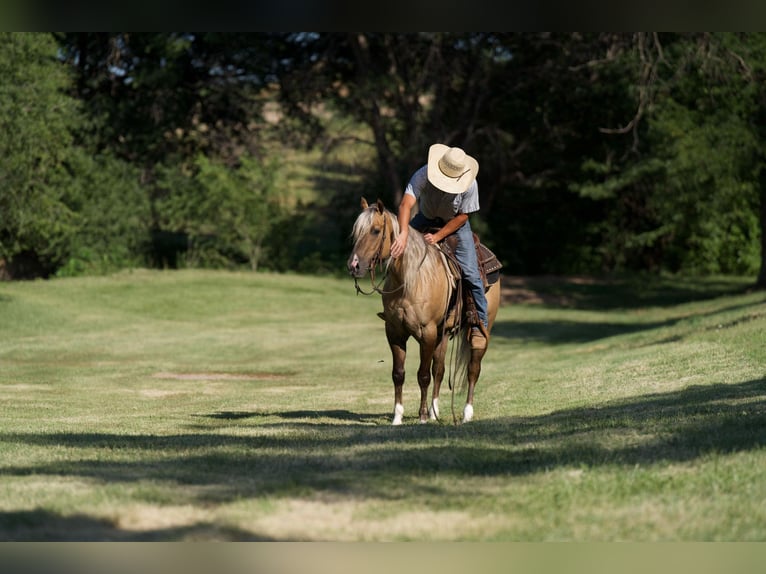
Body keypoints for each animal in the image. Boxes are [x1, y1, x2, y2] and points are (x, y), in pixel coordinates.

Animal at [347, 198, 501, 425]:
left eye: (375, 230)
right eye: (356, 232)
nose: (354, 266)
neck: (409, 278)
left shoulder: (426, 332)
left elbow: (423, 375)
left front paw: (422, 417)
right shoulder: (395, 332)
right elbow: (399, 373)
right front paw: (398, 417)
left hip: (480, 329)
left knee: (473, 369)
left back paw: (466, 413)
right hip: (442, 334)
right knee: (440, 369)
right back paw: (435, 411)